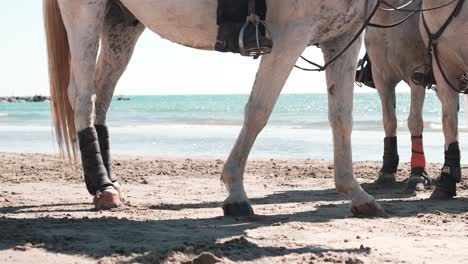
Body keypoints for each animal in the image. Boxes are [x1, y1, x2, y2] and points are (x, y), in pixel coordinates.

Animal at [44, 0, 384, 217]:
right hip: (84, 13)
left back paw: (109, 182)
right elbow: (259, 110)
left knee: (102, 94)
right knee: (82, 95)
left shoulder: (343, 38)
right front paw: (235, 193)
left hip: (120, 23)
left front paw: (354, 191)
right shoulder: (292, 35)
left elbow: (342, 117)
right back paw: (101, 185)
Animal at [366, 0, 432, 191]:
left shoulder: (417, 74)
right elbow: (389, 121)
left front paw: (417, 174)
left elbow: (415, 121)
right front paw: (387, 171)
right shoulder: (381, 78)